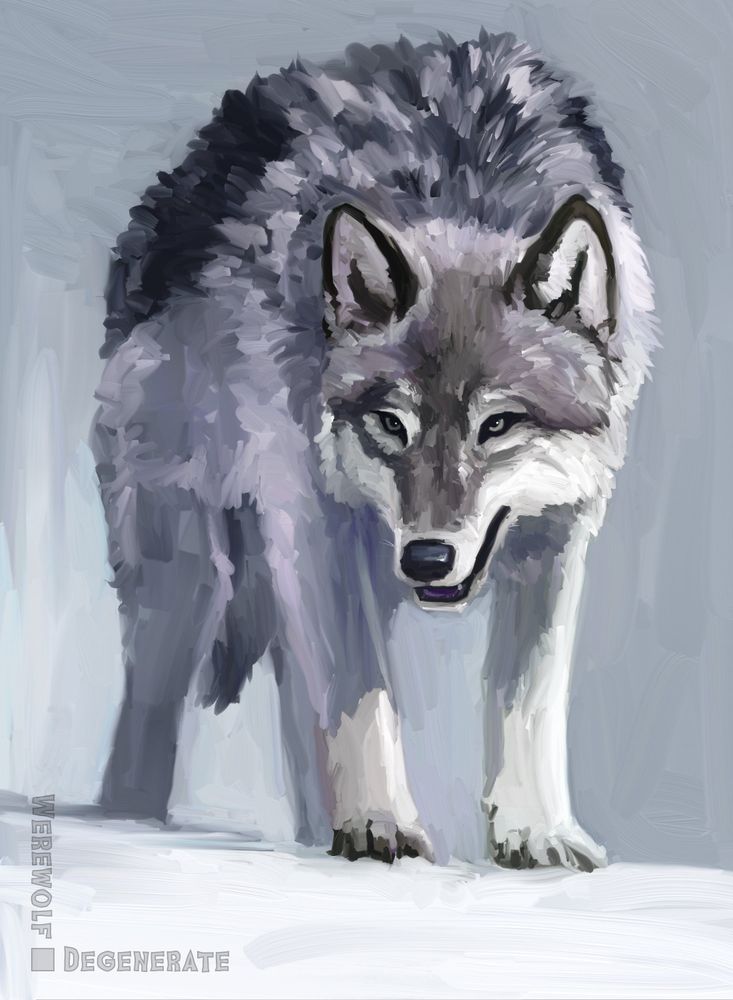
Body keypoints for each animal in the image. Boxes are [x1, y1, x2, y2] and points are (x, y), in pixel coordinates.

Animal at [93, 30, 656, 870]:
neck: (462, 191)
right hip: (192, 575)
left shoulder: (555, 534)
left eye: (497, 426)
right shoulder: (314, 524)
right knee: (150, 717)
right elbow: (359, 692)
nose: (426, 559)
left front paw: (537, 833)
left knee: (299, 711)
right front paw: (380, 825)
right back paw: (125, 820)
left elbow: (528, 695)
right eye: (391, 424)